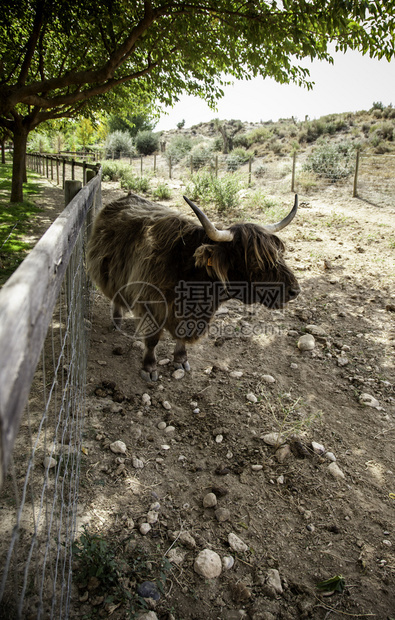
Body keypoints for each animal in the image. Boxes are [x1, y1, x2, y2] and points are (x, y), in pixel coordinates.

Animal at [87, 194, 300, 380]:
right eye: (255, 260)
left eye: (279, 253)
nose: (295, 291)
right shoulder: (153, 306)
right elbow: (152, 340)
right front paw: (149, 368)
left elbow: (182, 336)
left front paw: (180, 360)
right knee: (115, 296)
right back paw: (116, 321)